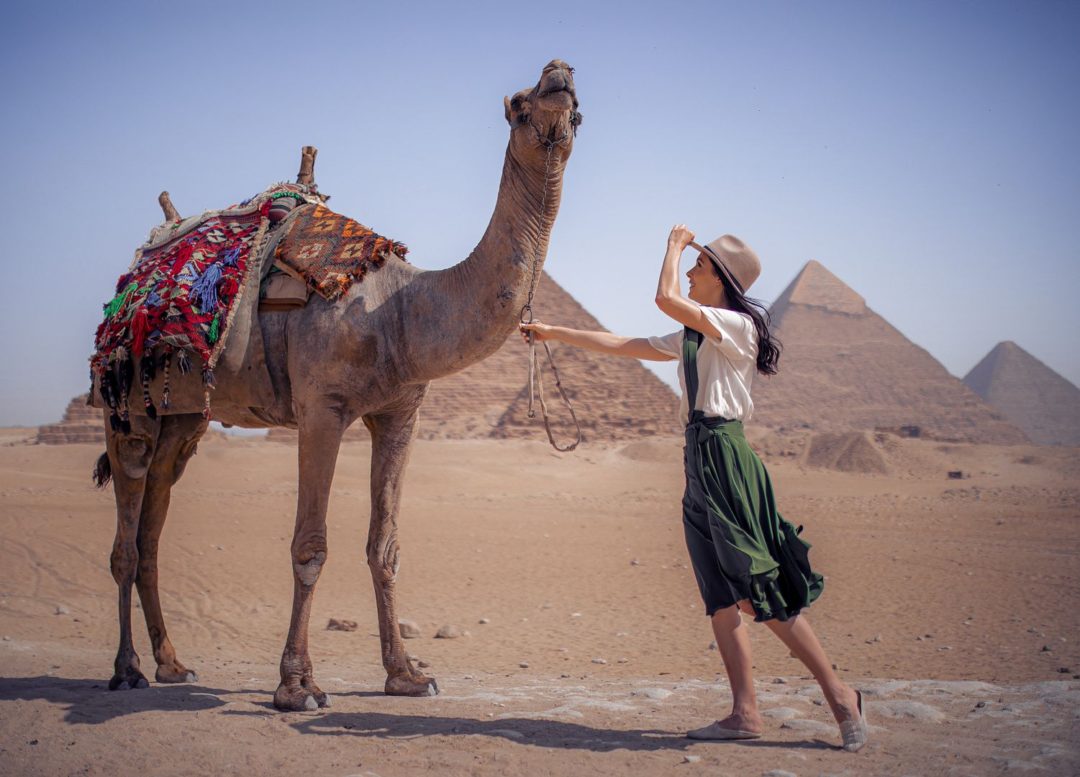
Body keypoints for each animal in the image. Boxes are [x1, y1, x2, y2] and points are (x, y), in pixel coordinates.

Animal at [97, 60, 580, 710]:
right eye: (521, 105)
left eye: (577, 108)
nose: (559, 73)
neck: (399, 310)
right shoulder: (321, 408)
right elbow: (310, 546)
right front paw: (297, 685)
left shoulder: (401, 414)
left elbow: (385, 547)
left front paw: (407, 674)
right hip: (125, 407)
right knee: (126, 537)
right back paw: (126, 670)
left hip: (184, 419)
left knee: (152, 527)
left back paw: (172, 664)